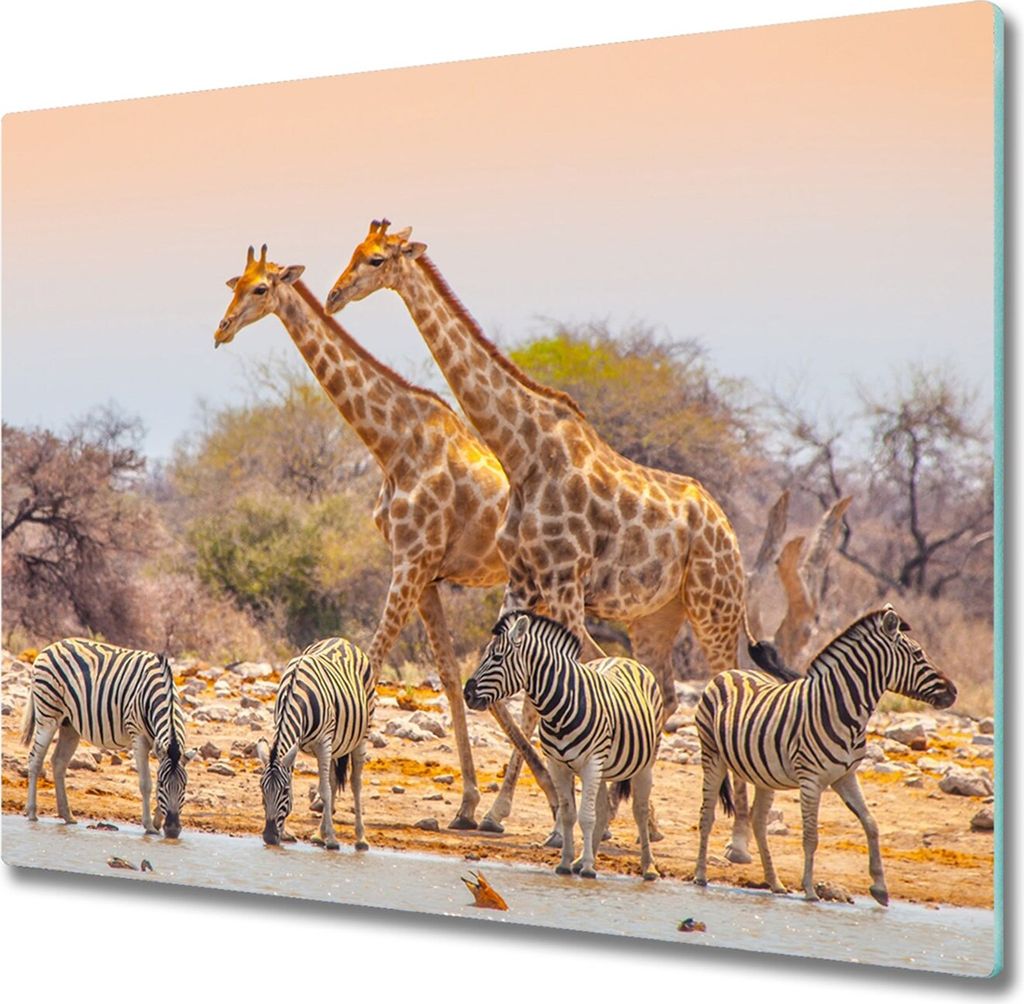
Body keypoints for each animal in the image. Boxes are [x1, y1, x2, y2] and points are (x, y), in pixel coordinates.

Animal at [22, 638, 194, 838]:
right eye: (161, 785)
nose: (173, 830)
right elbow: (145, 784)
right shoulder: (138, 736)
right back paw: (32, 813)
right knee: (35, 760)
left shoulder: (161, 746)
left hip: (69, 724)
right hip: (47, 714)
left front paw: (158, 823)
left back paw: (67, 816)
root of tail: (52, 645)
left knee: (58, 762)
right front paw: (149, 826)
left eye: (184, 786)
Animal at [255, 636, 375, 851]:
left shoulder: (323, 743)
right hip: (336, 745)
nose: (269, 837)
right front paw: (285, 833)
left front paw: (333, 840)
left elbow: (324, 791)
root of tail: (342, 640)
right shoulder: (293, 742)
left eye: (284, 791)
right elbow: (318, 785)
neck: (295, 693)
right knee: (334, 781)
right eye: (262, 789)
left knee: (355, 783)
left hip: (361, 736)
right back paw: (319, 835)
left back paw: (360, 839)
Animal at [464, 611, 663, 881]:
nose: (467, 694)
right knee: (602, 810)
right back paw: (583, 860)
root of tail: (626, 659)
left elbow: (586, 817)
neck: (558, 709)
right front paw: (567, 863)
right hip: (603, 769)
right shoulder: (557, 764)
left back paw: (648, 867)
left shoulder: (591, 763)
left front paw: (588, 868)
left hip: (644, 763)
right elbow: (569, 815)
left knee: (639, 811)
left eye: (496, 657)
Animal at [693, 604, 957, 905]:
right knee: (707, 816)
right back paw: (700, 876)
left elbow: (871, 823)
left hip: (763, 774)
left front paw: (880, 887)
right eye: (918, 655)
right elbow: (811, 836)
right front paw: (809, 890)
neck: (843, 710)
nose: (954, 691)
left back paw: (775, 883)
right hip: (712, 755)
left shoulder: (846, 776)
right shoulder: (811, 780)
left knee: (758, 822)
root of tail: (730, 672)